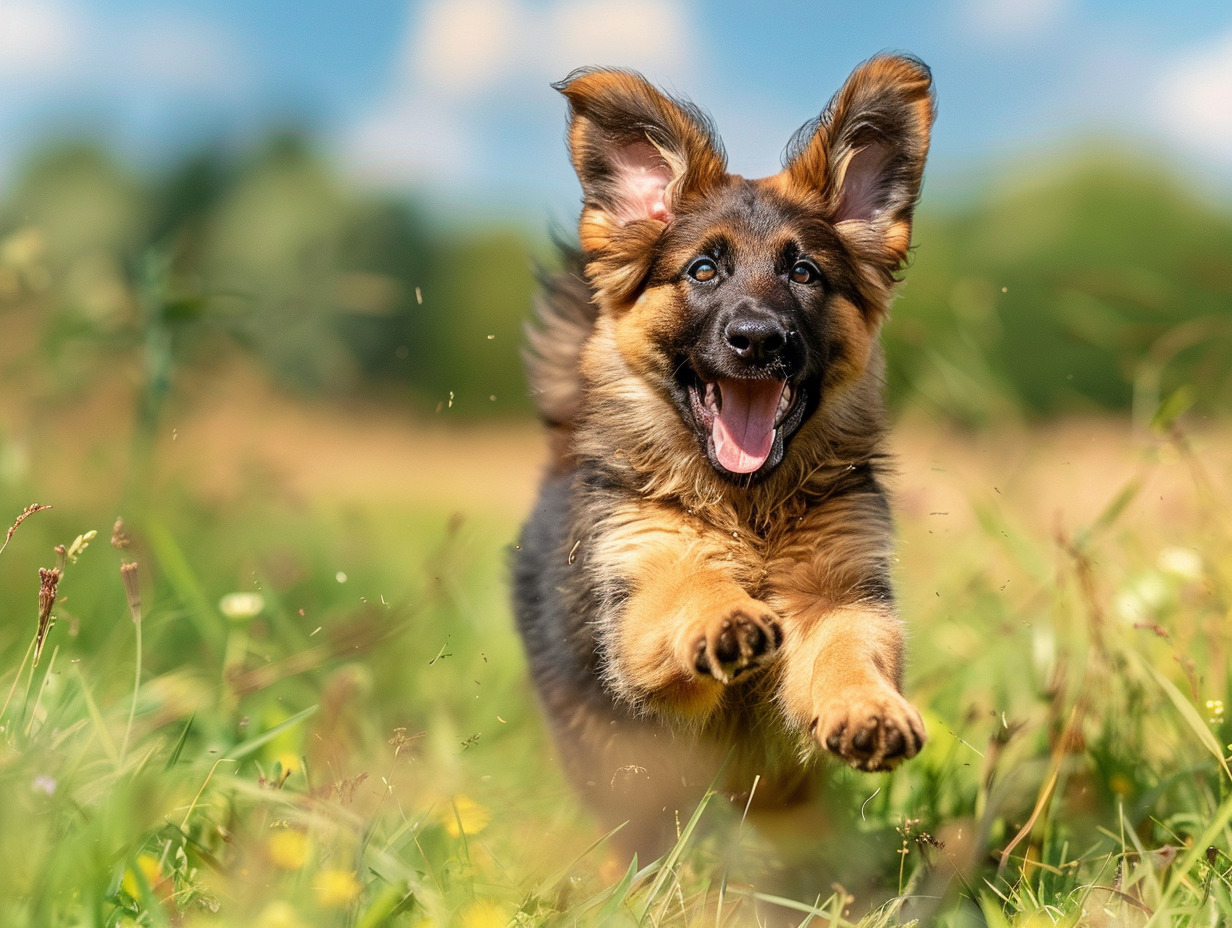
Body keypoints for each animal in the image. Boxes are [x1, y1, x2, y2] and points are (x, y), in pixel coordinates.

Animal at [512, 52, 931, 862]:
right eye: (704, 271)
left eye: (805, 274)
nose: (758, 339)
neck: (749, 508)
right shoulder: (639, 596)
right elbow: (684, 591)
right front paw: (724, 617)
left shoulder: (845, 593)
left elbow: (850, 651)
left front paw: (868, 709)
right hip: (620, 766)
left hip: (776, 794)